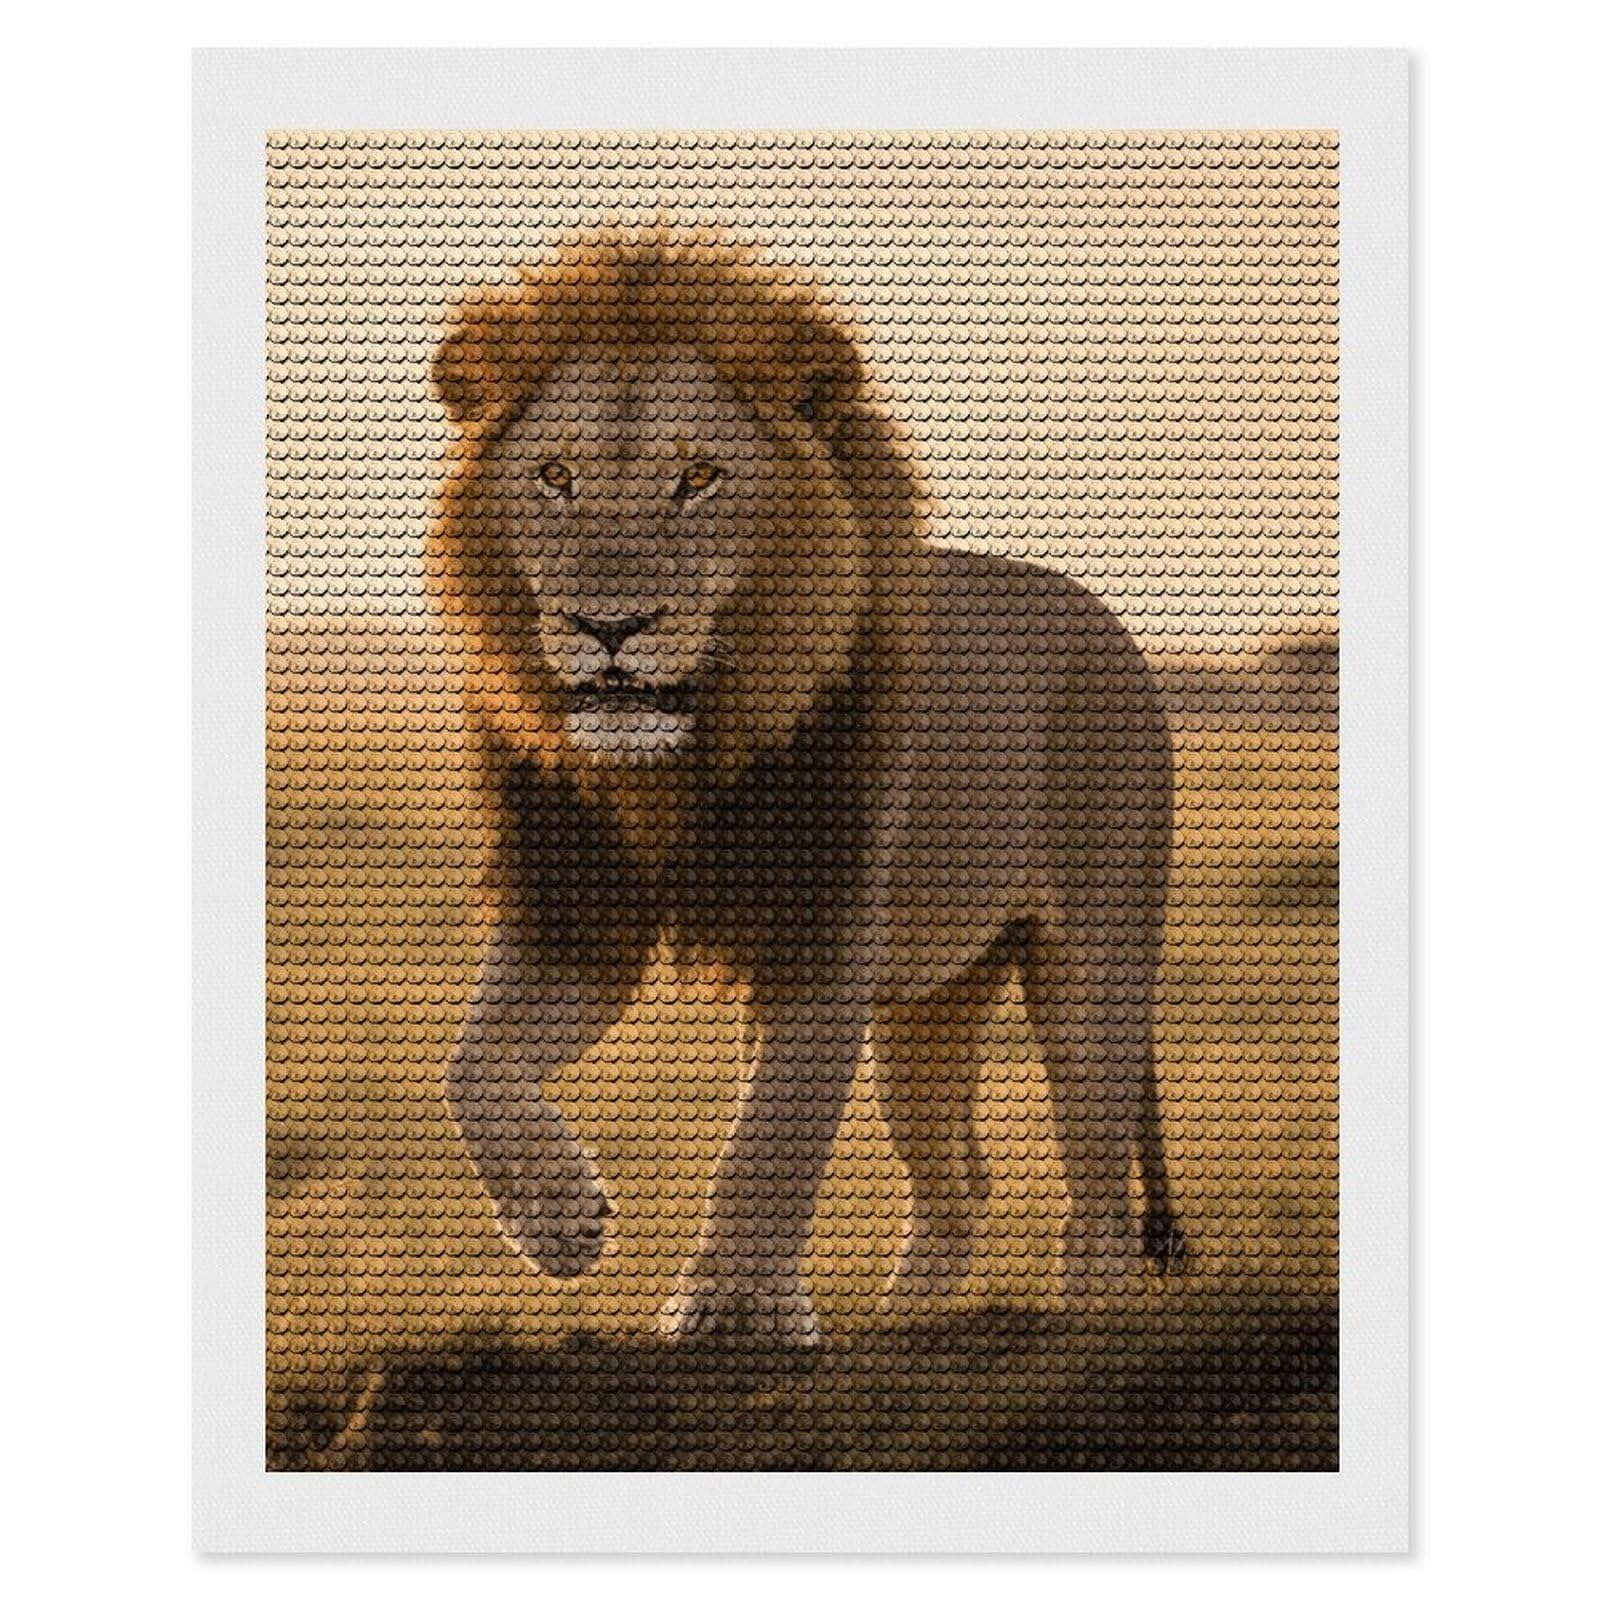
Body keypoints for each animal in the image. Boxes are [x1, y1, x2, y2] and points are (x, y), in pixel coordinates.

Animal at [427, 229, 1184, 1344]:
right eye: (555, 475)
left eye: (698, 477)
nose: (610, 626)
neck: (681, 762)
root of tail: (1115, 628)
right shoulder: (579, 916)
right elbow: (473, 1066)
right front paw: (561, 1221)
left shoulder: (823, 930)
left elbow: (771, 1133)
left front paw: (733, 1307)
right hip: (931, 1001)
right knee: (958, 1184)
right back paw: (903, 1329)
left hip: (1091, 968)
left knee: (1098, 1188)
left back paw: (1084, 1322)